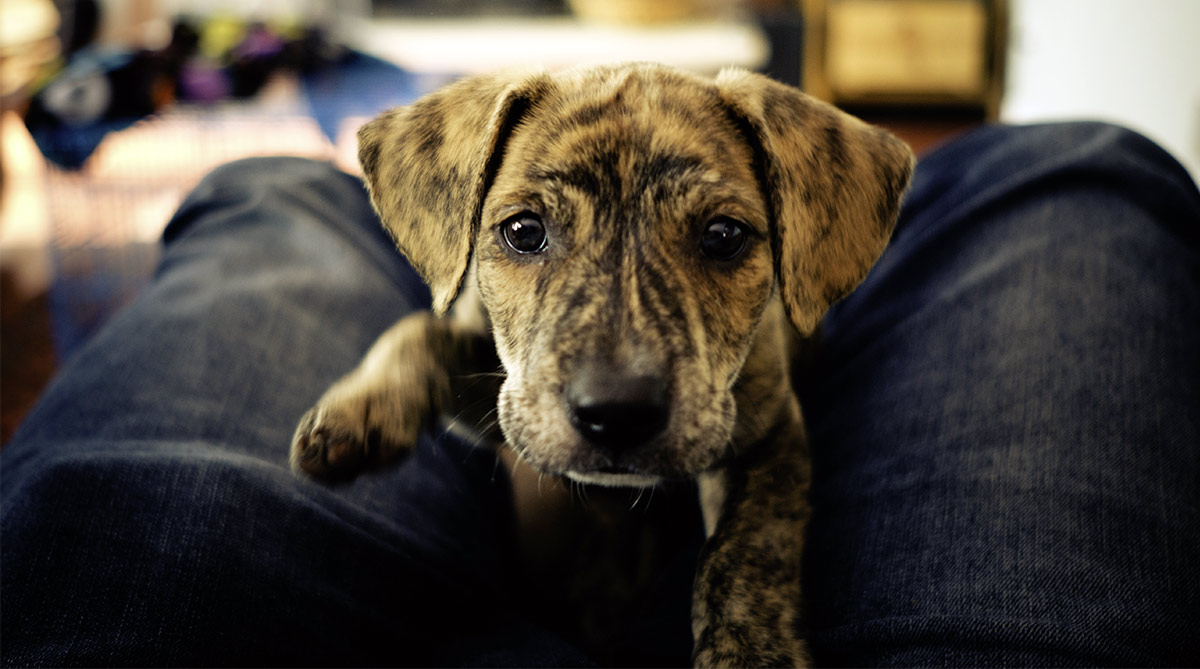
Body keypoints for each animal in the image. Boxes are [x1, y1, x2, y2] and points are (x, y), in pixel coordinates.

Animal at [290, 62, 907, 669]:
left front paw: (753, 650)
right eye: (523, 231)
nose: (618, 413)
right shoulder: (503, 396)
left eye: (724, 236)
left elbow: (748, 546)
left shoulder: (769, 428)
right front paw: (358, 412)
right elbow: (422, 334)